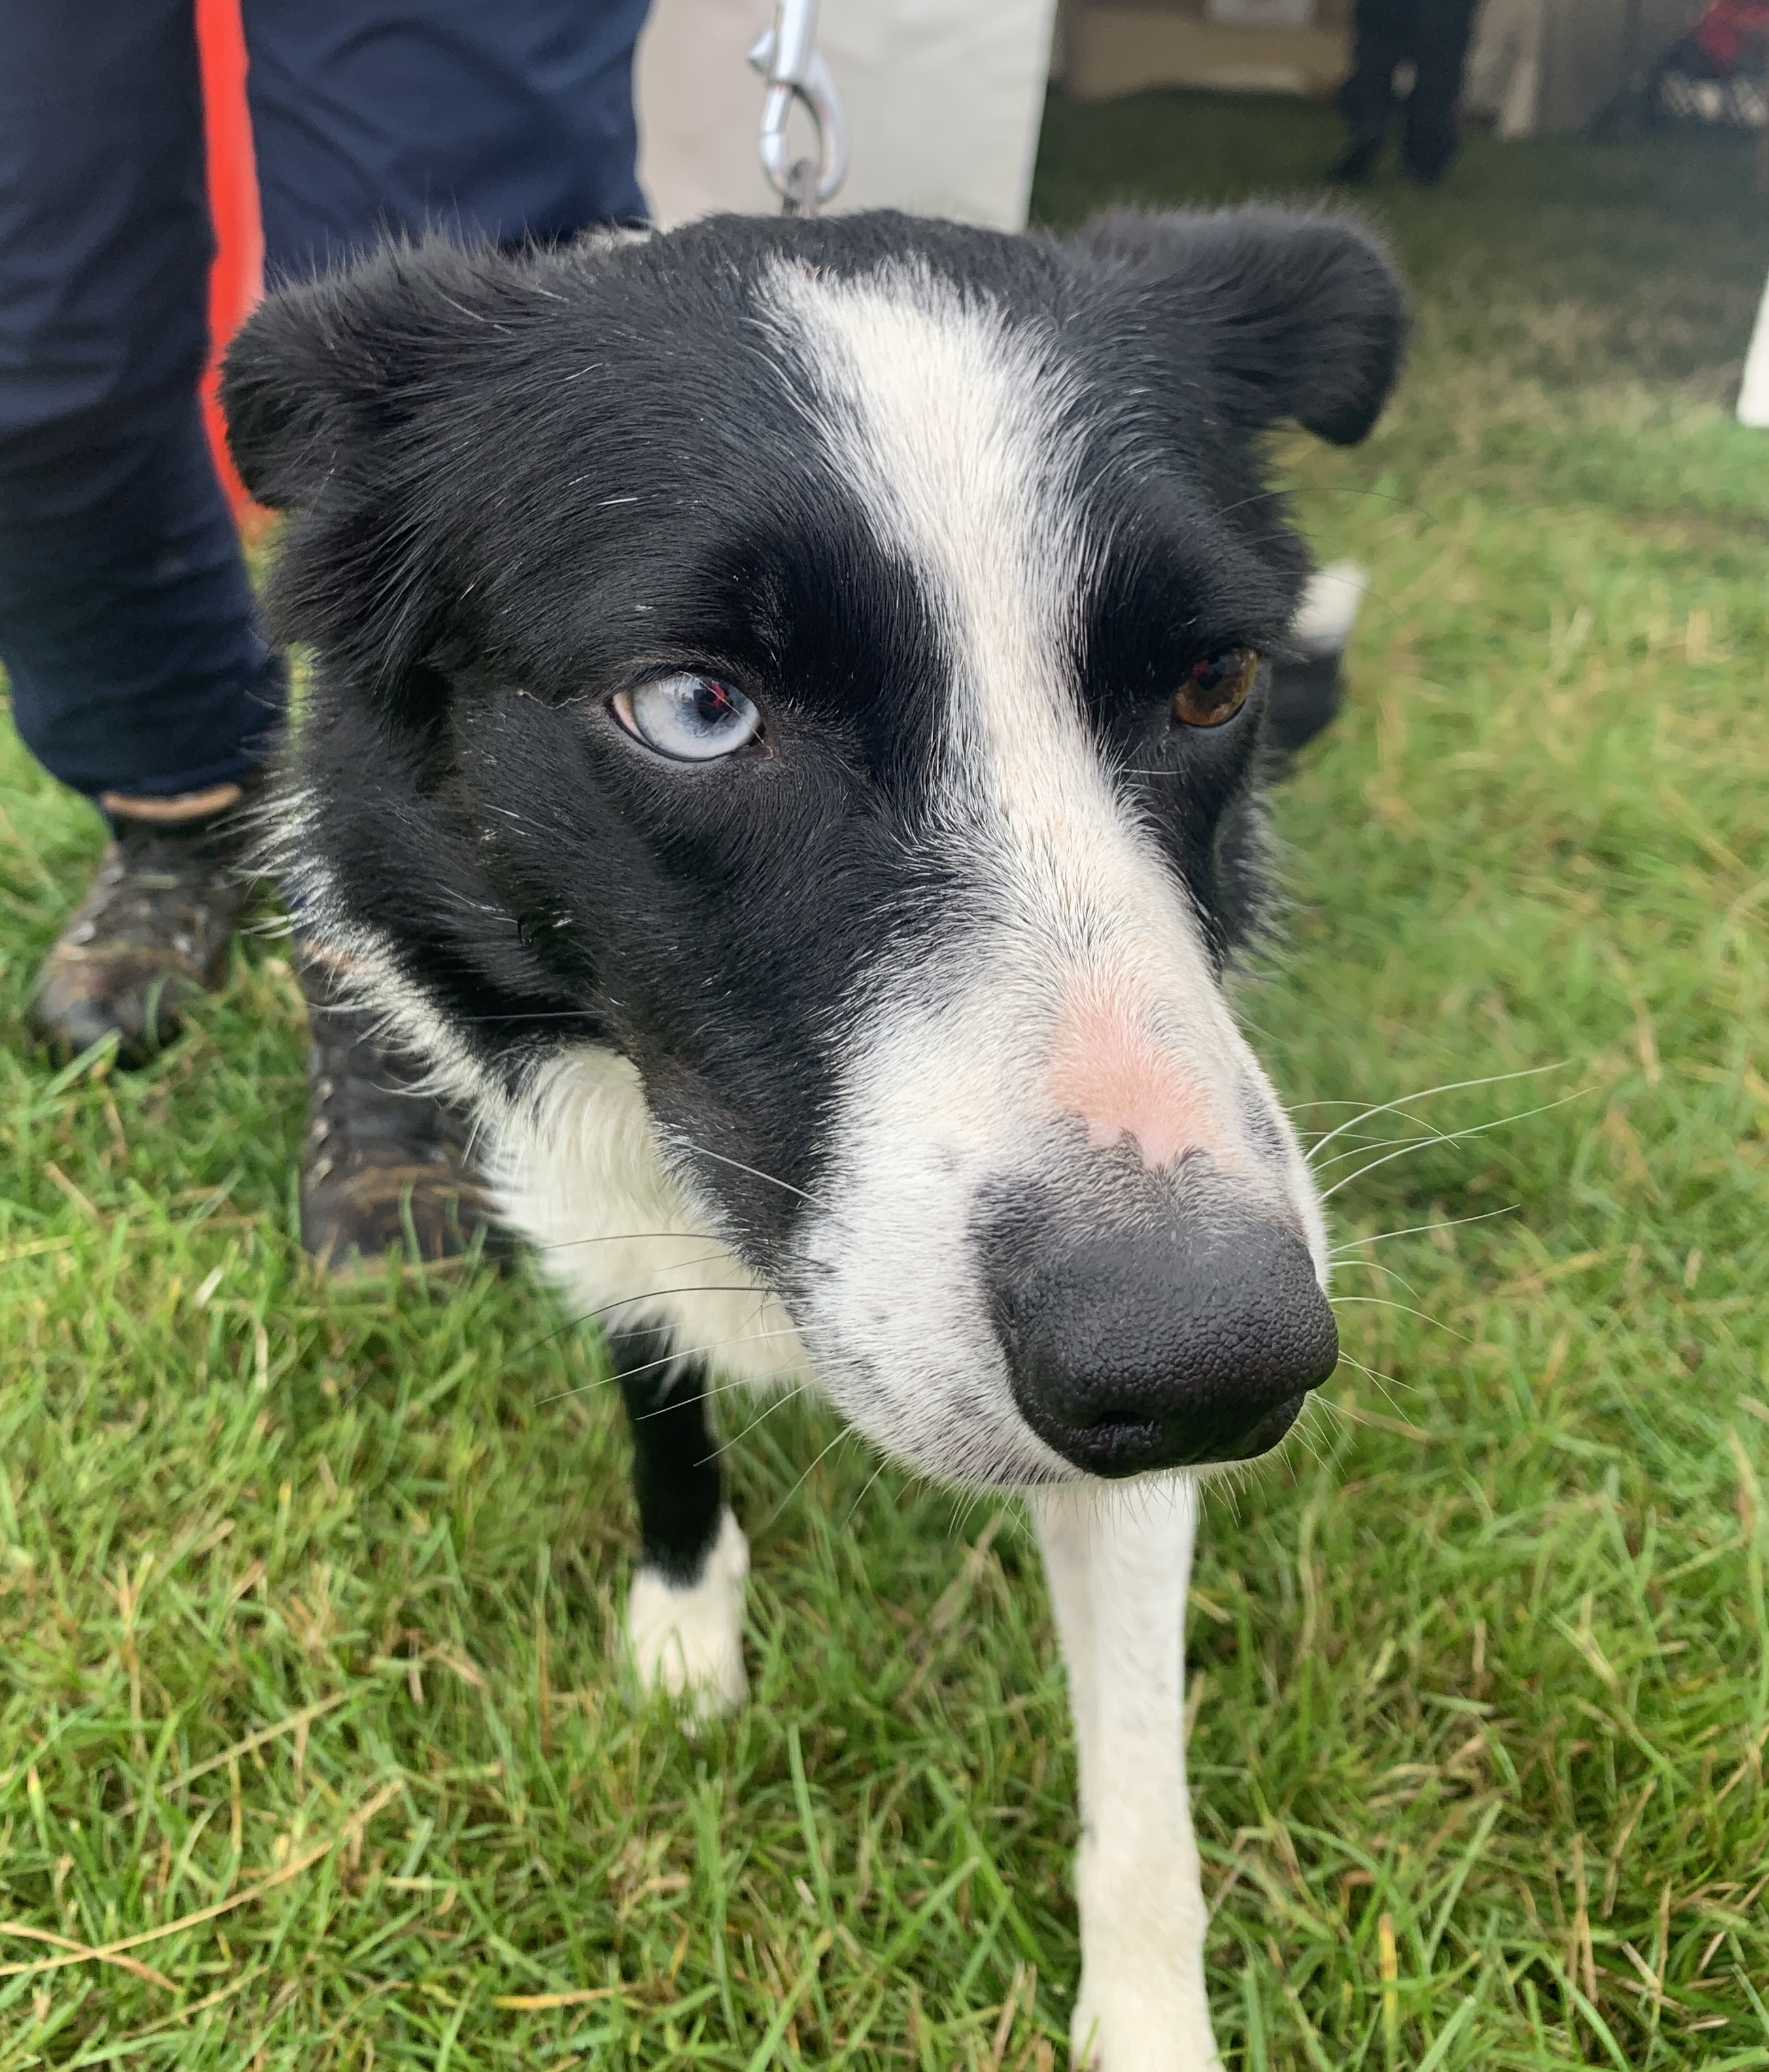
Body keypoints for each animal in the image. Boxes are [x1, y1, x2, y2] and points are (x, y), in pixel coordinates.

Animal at [224, 201, 1417, 2063]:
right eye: (696, 707)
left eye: (1212, 680)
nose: (1210, 1366)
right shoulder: (600, 1183)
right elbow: (659, 1398)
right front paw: (683, 1633)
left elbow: (1140, 1783)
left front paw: (1147, 2015)